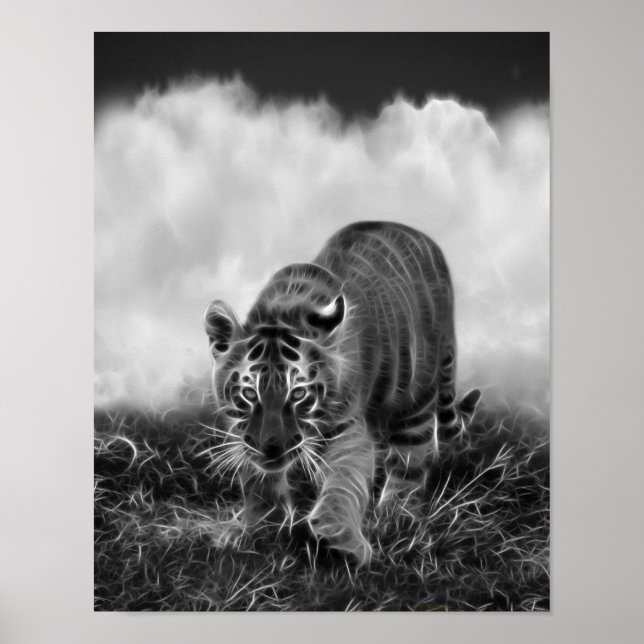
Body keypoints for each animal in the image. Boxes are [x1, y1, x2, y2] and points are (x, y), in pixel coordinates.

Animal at [203, 221, 480, 566]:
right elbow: (258, 482)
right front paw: (256, 530)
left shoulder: (348, 429)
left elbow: (343, 482)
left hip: (416, 398)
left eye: (298, 394)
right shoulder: (244, 435)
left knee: (412, 459)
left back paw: (396, 519)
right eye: (249, 393)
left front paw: (342, 542)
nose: (271, 448)